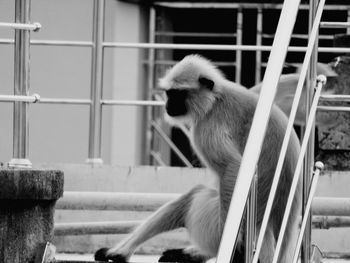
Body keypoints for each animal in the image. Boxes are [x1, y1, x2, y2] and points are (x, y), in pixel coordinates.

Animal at [94, 54, 302, 262]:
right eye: (169, 93)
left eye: (177, 94)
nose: (168, 105)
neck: (216, 98)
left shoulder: (209, 124)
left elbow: (233, 166)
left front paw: (232, 242)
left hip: (210, 220)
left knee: (194, 195)